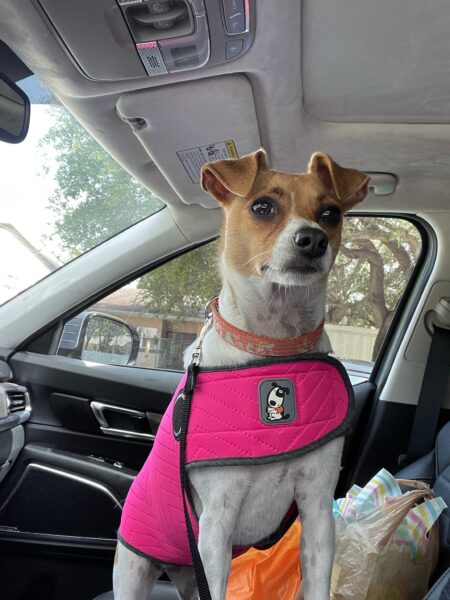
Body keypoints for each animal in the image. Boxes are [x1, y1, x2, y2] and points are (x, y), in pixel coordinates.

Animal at [113, 150, 370, 600]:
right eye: (263, 207)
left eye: (331, 213)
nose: (313, 239)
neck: (275, 346)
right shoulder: (217, 521)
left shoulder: (317, 509)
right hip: (137, 569)